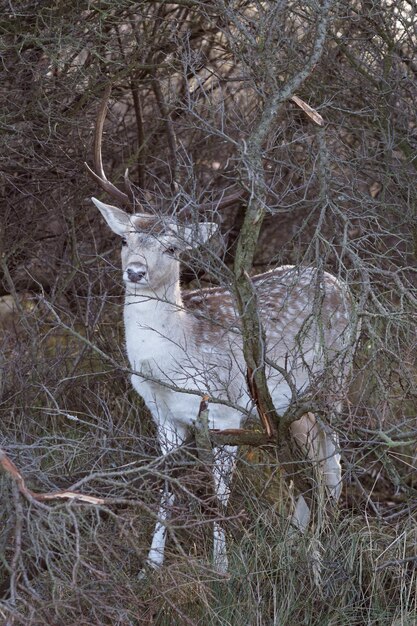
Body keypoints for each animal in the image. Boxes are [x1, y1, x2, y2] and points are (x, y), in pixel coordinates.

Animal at [86, 90, 356, 572]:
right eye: (124, 239)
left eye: (173, 247)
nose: (135, 272)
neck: (173, 364)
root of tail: (344, 287)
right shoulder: (161, 416)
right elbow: (167, 486)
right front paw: (150, 566)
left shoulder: (227, 410)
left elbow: (220, 496)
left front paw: (222, 569)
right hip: (295, 404)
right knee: (315, 456)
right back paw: (298, 540)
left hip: (335, 380)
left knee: (332, 456)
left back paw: (320, 554)